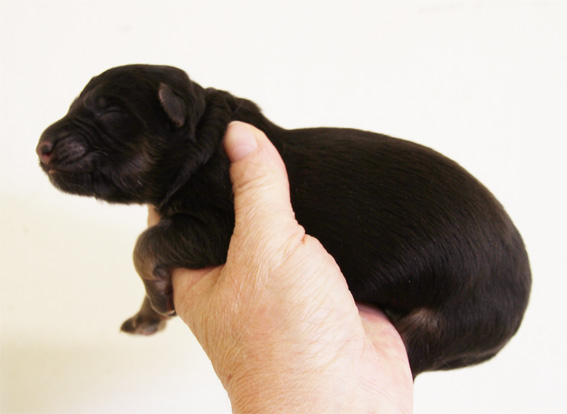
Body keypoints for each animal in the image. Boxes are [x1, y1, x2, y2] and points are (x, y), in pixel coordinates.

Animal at [36, 64, 531, 377]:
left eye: (110, 110)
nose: (40, 145)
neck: (204, 139)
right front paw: (147, 315)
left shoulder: (218, 228)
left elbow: (144, 245)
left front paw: (157, 297)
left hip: (448, 321)